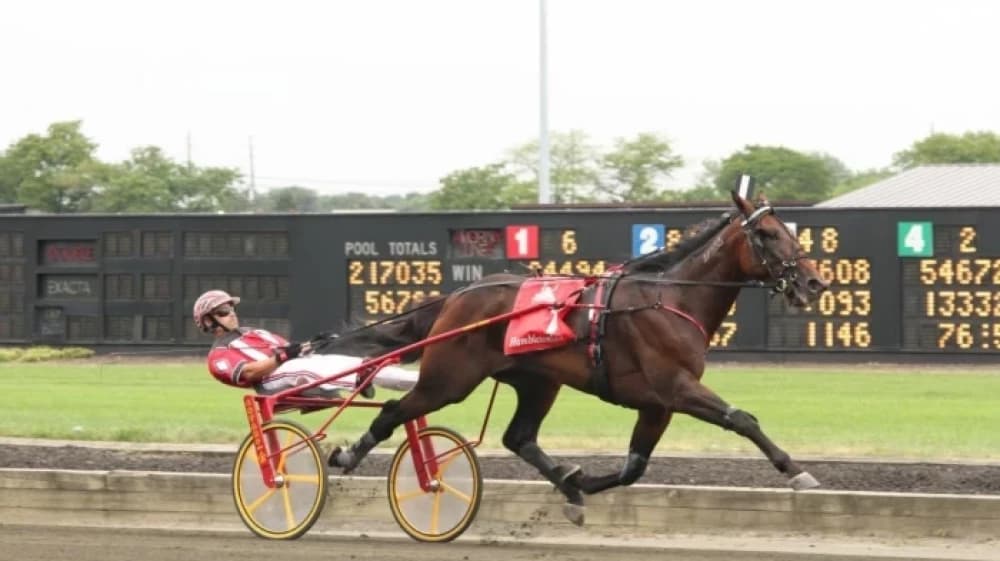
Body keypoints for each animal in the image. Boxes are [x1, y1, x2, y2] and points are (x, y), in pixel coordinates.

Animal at [322, 190, 829, 525]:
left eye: (786, 230)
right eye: (767, 233)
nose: (814, 282)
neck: (670, 299)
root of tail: (458, 295)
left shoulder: (656, 404)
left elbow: (633, 467)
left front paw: (579, 484)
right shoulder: (676, 387)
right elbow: (741, 419)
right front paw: (797, 472)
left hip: (537, 381)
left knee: (519, 437)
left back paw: (566, 483)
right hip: (449, 378)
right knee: (394, 410)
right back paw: (345, 455)